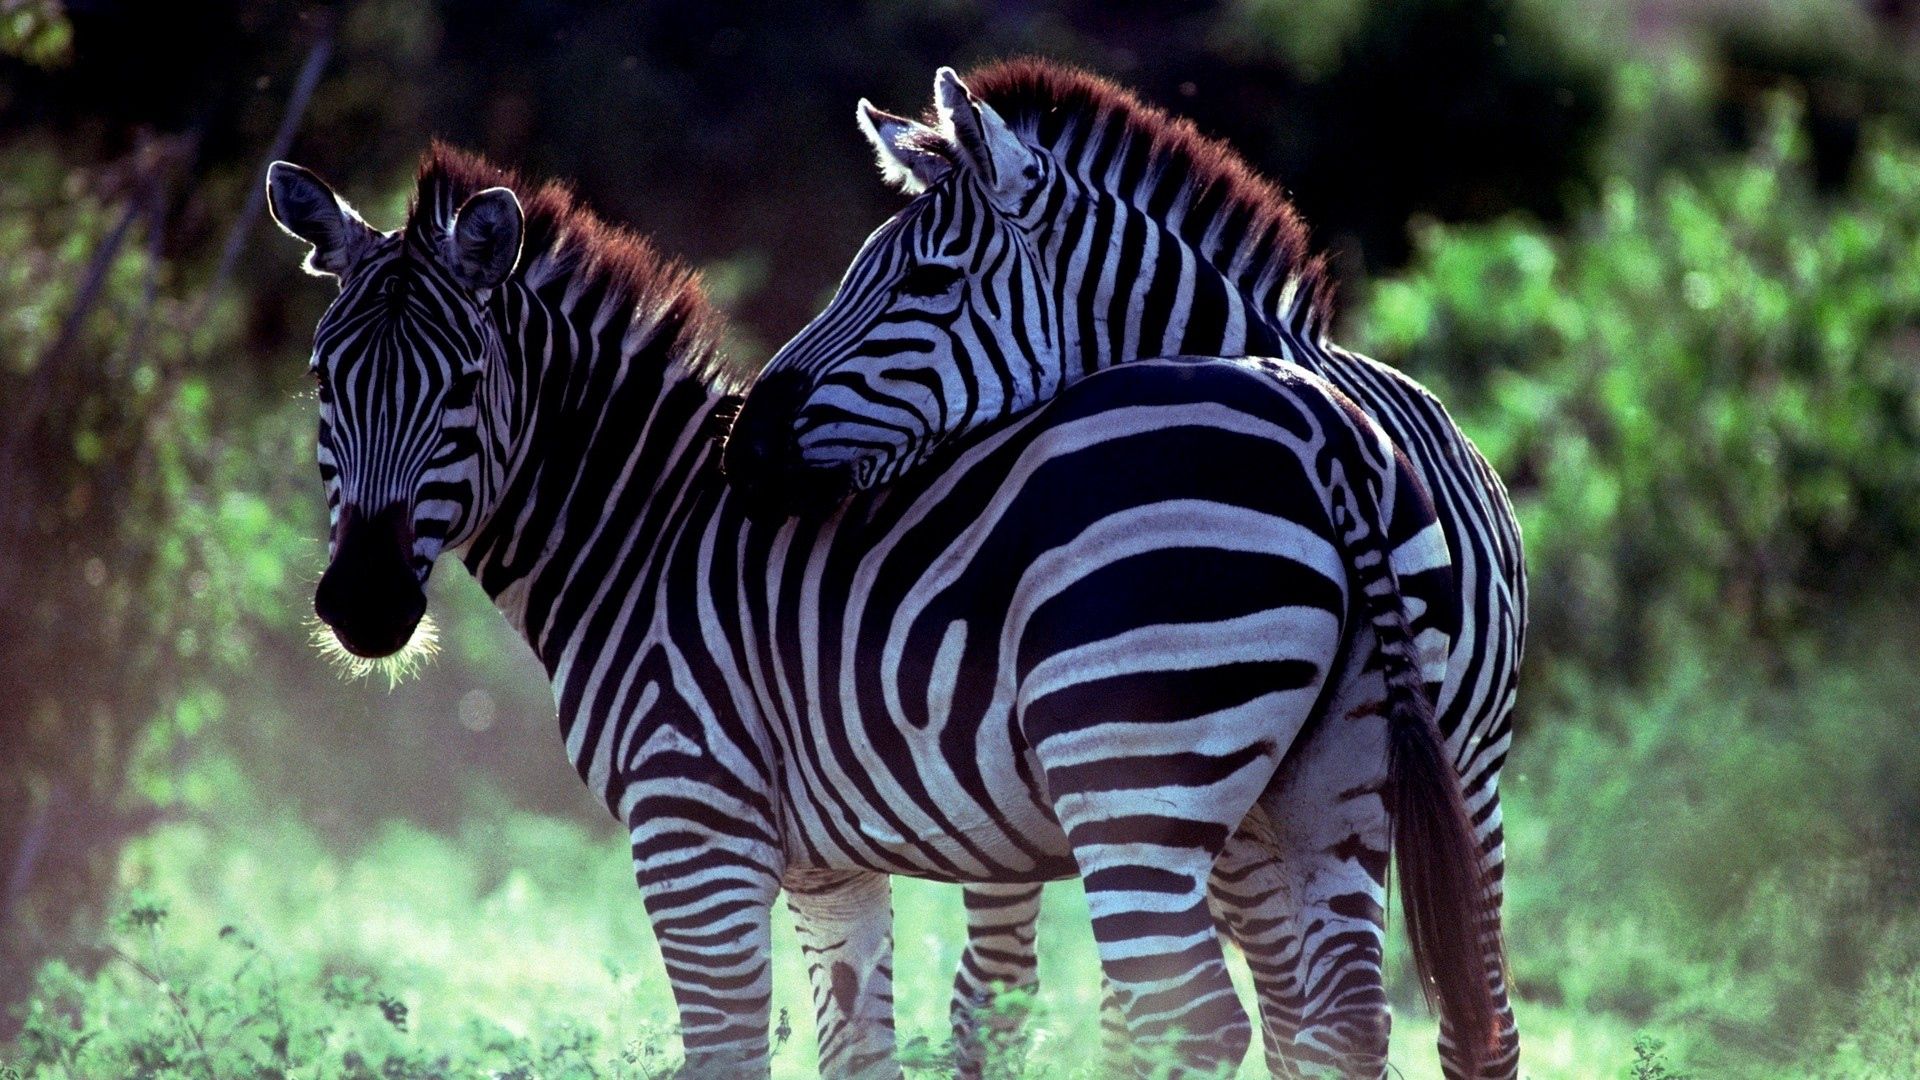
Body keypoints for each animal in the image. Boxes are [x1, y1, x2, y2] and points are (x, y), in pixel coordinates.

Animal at [270, 145, 1497, 1076]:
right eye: (324, 379)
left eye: (463, 386)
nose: (365, 605)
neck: (641, 530)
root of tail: (1317, 417)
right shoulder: (828, 870)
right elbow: (856, 1048)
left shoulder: (692, 826)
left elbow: (725, 1052)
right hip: (1336, 783)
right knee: (1345, 1020)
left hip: (1133, 774)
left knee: (1188, 1016)